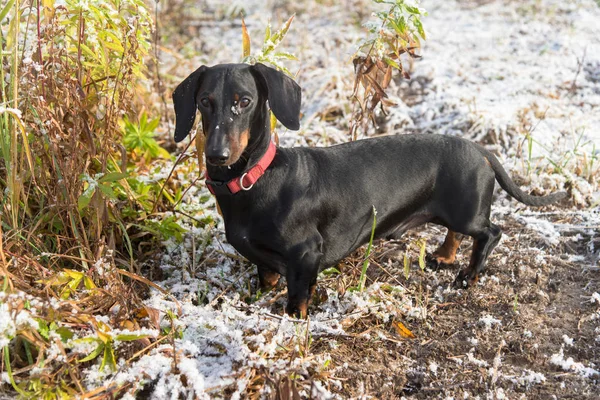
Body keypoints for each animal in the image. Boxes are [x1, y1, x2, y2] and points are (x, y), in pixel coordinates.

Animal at [171, 62, 564, 318]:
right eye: (204, 101)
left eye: (245, 101)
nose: (217, 155)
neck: (255, 179)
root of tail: (479, 148)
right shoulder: (264, 261)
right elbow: (265, 277)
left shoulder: (304, 256)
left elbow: (297, 299)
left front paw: (294, 323)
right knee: (458, 233)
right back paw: (444, 255)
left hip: (467, 213)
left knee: (491, 233)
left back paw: (468, 274)